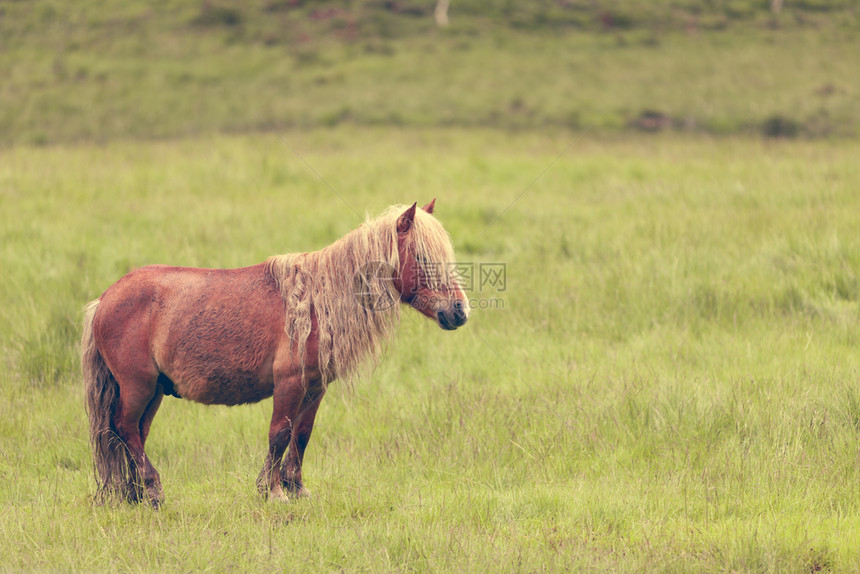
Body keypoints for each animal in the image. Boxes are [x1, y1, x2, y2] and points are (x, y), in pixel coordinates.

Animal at [81, 202, 470, 508]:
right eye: (421, 257)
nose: (459, 311)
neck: (316, 302)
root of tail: (105, 299)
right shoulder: (289, 384)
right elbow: (279, 434)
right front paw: (273, 492)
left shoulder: (315, 387)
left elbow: (302, 434)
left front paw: (296, 489)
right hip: (139, 387)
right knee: (125, 428)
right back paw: (152, 490)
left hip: (155, 391)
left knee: (134, 433)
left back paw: (136, 494)